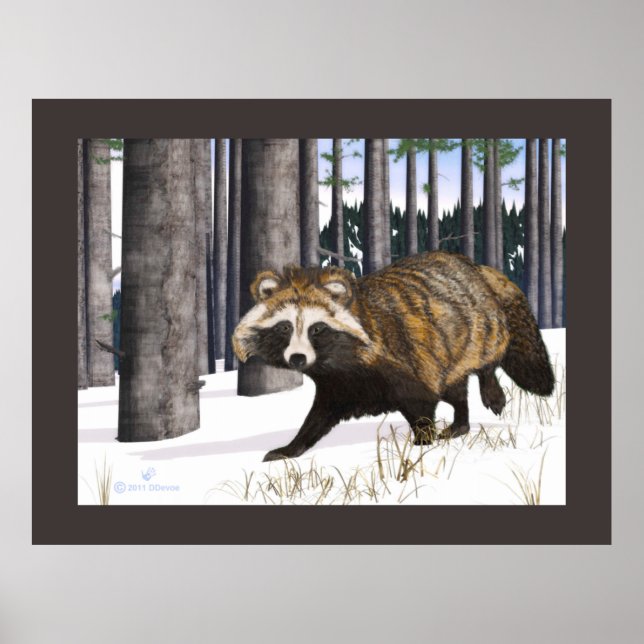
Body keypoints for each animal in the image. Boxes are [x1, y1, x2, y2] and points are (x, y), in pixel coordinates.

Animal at [233, 251, 555, 462]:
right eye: (285, 326)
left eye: (317, 328)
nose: (298, 358)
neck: (336, 362)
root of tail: (478, 268)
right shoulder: (339, 383)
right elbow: (319, 416)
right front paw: (292, 447)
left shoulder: (405, 359)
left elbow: (421, 401)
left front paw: (423, 440)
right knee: (455, 390)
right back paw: (461, 422)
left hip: (478, 328)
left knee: (484, 362)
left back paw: (488, 389)